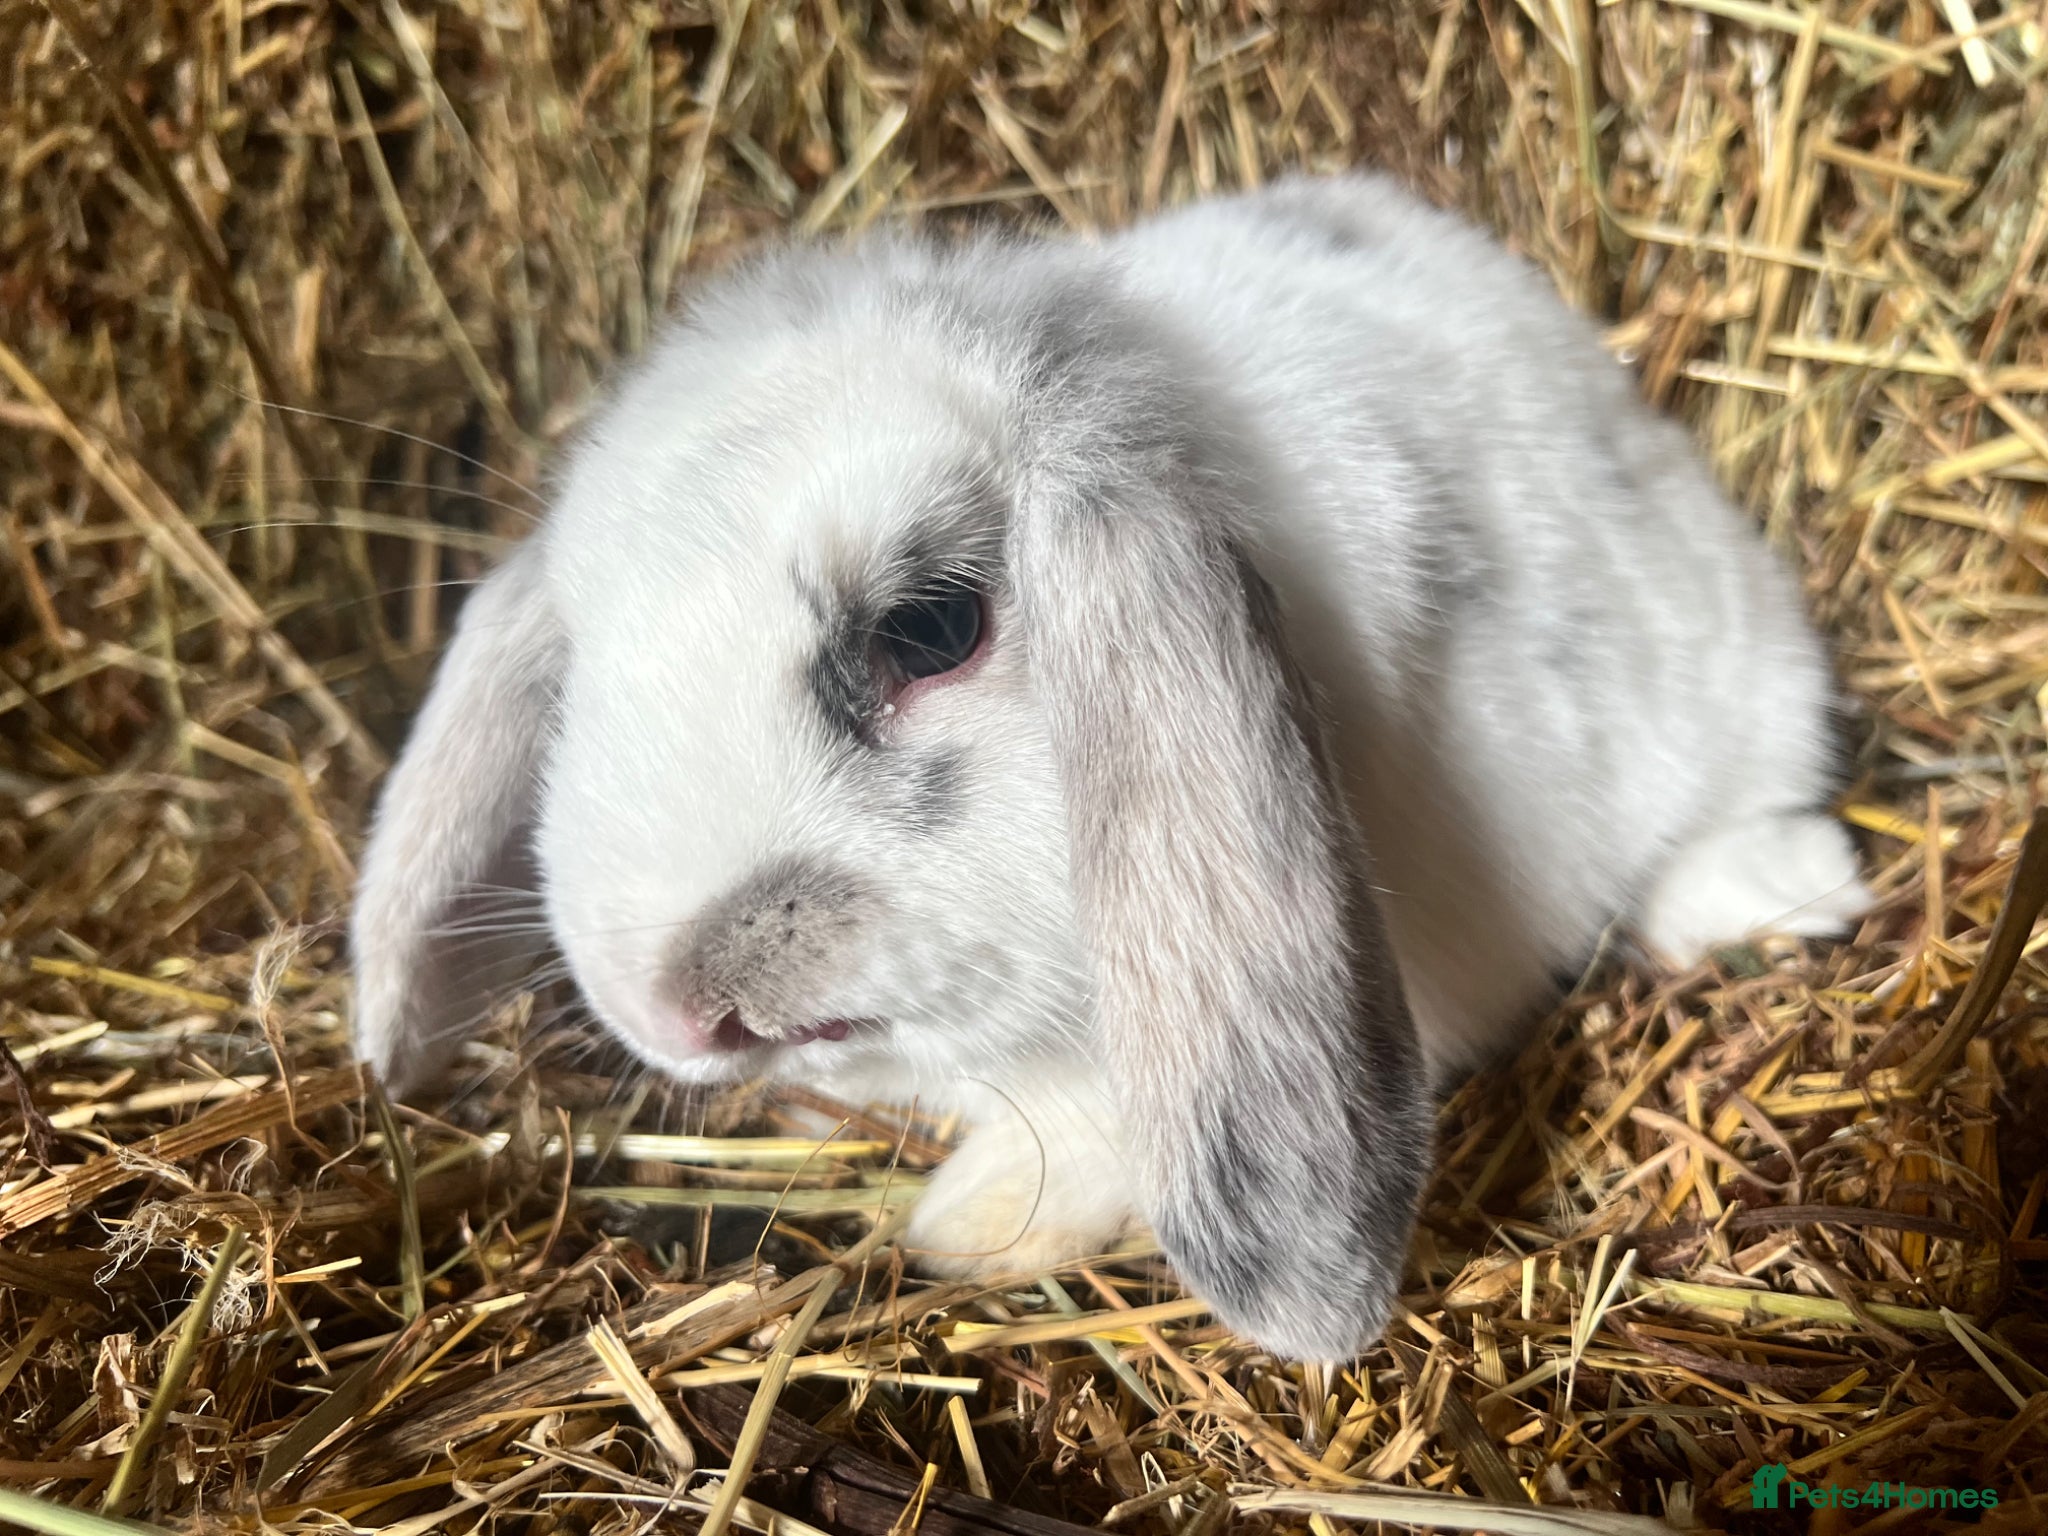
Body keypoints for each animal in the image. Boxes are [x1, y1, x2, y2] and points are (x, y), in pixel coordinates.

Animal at [348, 172, 1870, 1362]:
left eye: (929, 628)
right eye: (576, 666)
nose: (677, 1004)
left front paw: (960, 1232)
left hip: (1738, 672)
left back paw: (1794, 886)